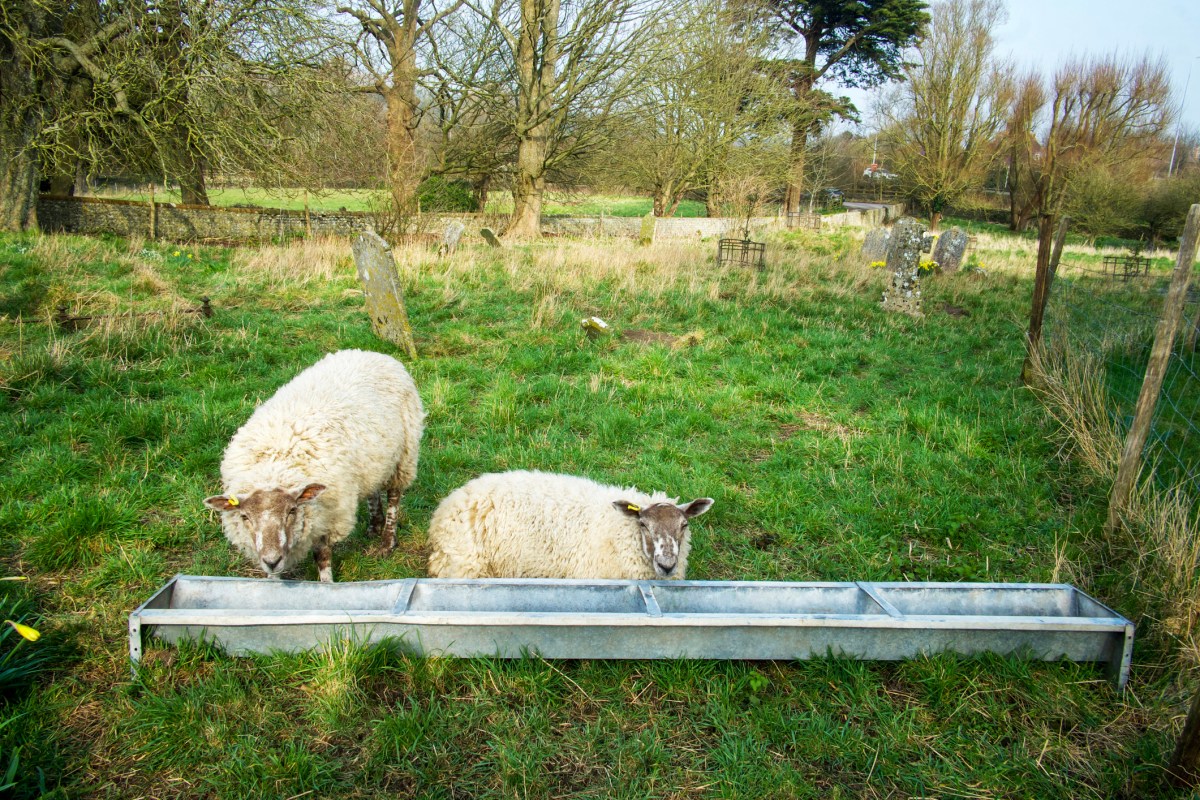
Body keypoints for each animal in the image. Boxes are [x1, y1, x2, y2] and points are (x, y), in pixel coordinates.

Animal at [204, 349, 424, 582]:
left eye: (292, 511)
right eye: (244, 516)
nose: (272, 560)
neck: (273, 466)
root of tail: (372, 353)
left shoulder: (328, 517)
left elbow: (322, 555)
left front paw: (326, 582)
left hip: (404, 455)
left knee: (394, 496)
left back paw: (387, 541)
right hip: (373, 459)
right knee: (372, 489)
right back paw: (375, 525)